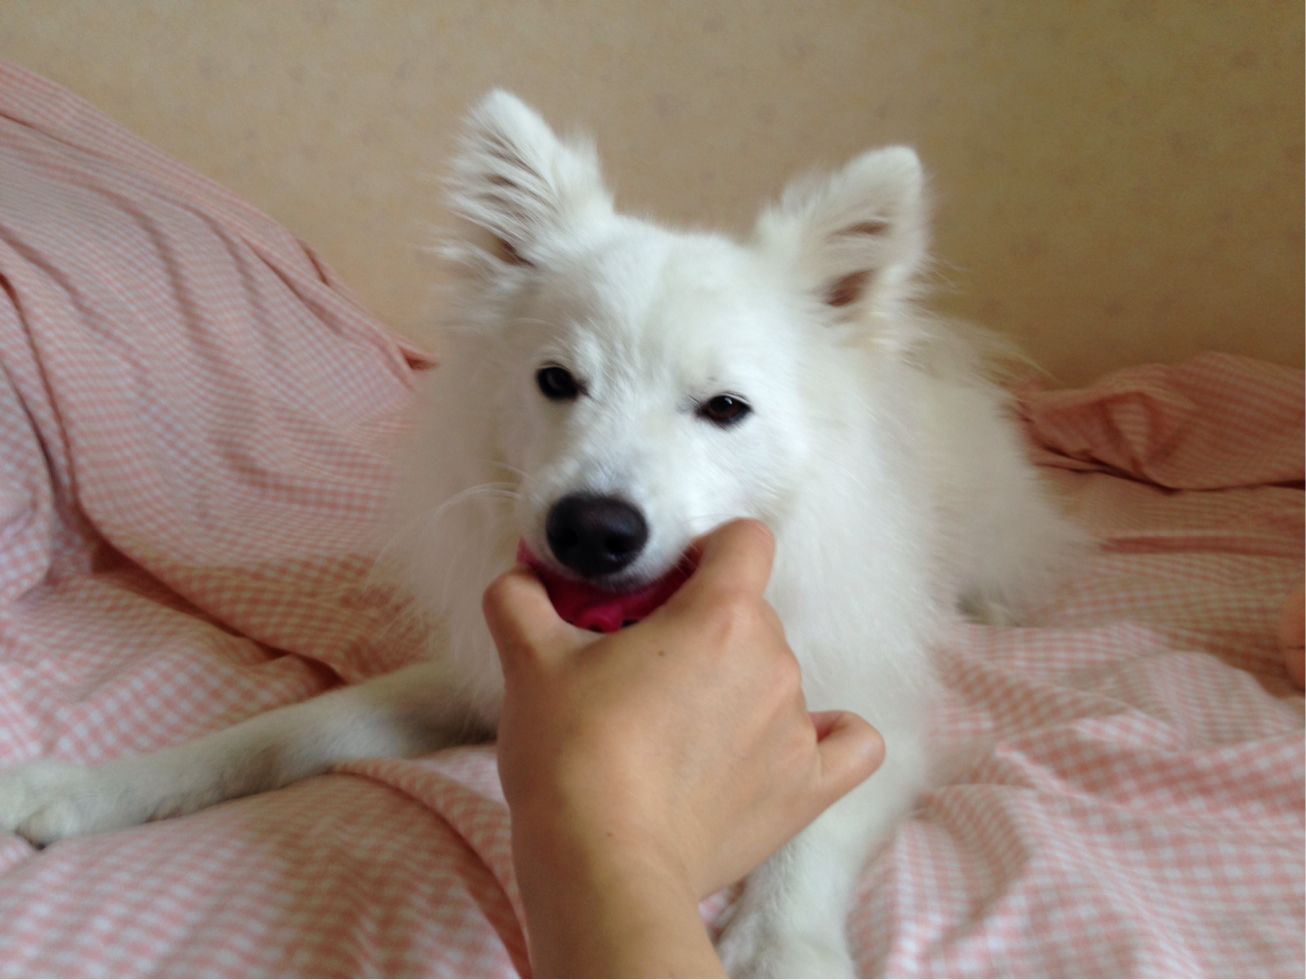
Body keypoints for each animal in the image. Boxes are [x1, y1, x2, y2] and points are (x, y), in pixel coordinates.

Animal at [0, 92, 1082, 977]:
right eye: (557, 380)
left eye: (725, 408)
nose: (593, 528)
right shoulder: (486, 678)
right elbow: (298, 728)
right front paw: (90, 788)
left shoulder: (870, 712)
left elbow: (812, 834)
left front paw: (780, 948)